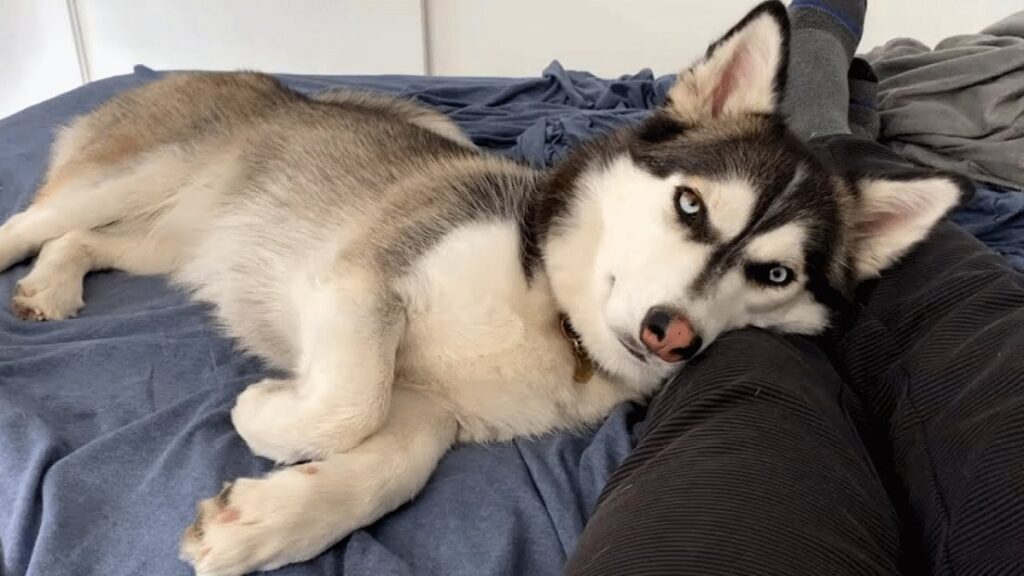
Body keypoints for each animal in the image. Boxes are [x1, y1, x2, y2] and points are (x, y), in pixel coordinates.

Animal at [0, 2, 966, 569]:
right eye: (691, 205)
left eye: (774, 274)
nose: (673, 334)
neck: (551, 316)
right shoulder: (371, 273)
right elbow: (347, 404)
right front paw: (265, 412)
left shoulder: (433, 405)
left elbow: (396, 461)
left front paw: (270, 517)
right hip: (137, 176)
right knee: (33, 221)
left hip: (169, 240)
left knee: (87, 241)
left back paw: (54, 287)